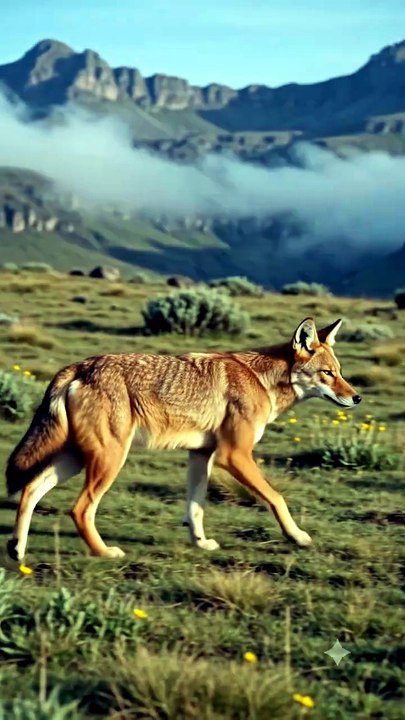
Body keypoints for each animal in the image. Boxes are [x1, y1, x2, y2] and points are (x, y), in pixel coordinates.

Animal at [5, 317, 361, 561]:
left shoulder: (202, 455)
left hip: (77, 459)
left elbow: (196, 508)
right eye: (328, 374)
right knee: (79, 509)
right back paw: (104, 553)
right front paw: (297, 536)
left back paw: (16, 549)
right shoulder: (234, 455)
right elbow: (276, 498)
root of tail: (79, 366)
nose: (357, 398)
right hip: (107, 461)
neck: (262, 381)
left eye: (340, 371)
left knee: (30, 490)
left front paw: (200, 543)